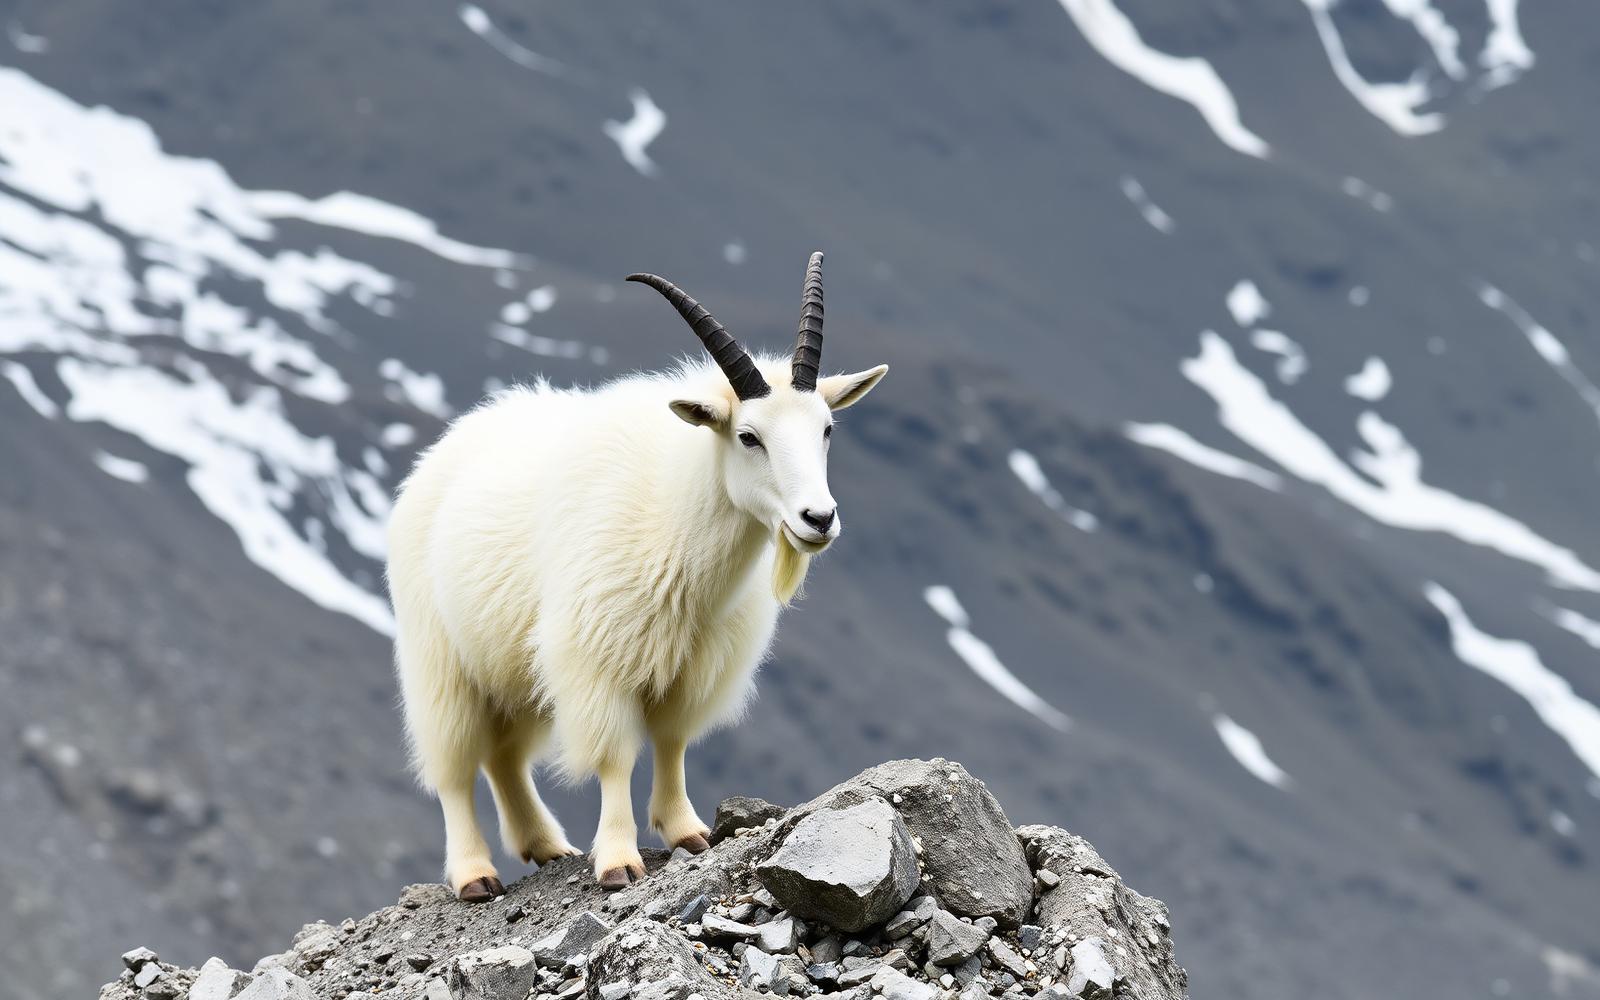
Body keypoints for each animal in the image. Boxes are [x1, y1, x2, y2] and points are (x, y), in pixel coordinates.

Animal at [387, 253, 888, 897]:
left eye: (826, 429)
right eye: (749, 436)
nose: (818, 519)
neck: (672, 519)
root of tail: (442, 452)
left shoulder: (694, 666)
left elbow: (672, 742)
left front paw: (686, 831)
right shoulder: (597, 659)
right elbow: (615, 757)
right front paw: (619, 860)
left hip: (507, 661)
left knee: (504, 756)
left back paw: (544, 844)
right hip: (440, 658)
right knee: (453, 765)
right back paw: (475, 872)